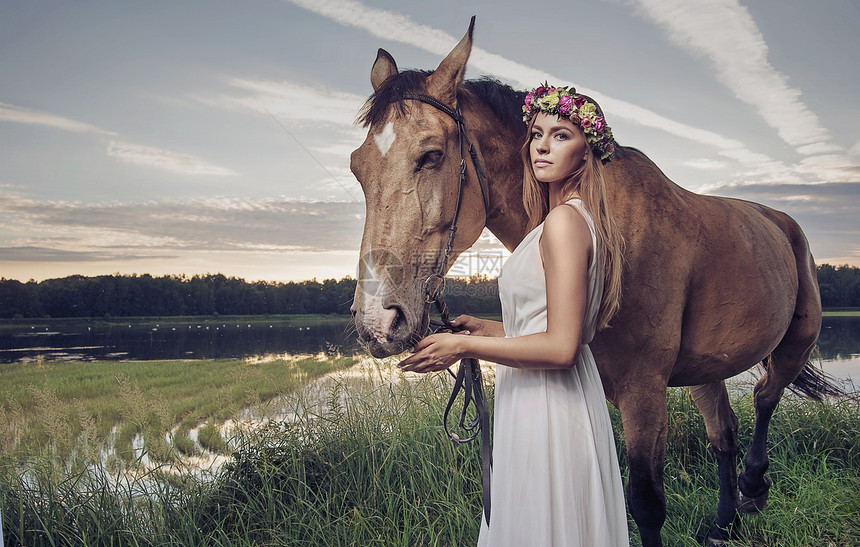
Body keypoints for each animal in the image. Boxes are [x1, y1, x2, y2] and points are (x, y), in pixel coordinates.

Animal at [346, 19, 836, 544]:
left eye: (432, 155)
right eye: (357, 167)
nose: (377, 321)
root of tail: (782, 222)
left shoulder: (644, 391)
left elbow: (646, 505)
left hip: (796, 342)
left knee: (765, 395)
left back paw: (754, 487)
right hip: (708, 369)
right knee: (723, 433)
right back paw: (724, 523)